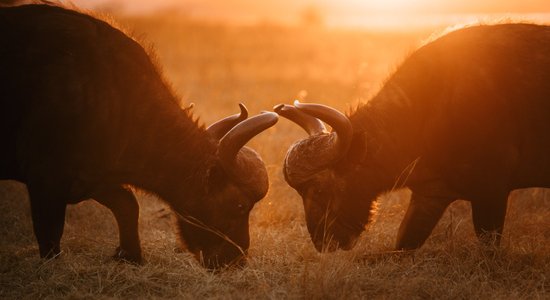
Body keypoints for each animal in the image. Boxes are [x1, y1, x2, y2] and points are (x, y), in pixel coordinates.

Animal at [0, 4, 276, 270]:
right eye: (240, 205)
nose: (236, 260)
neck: (115, 94)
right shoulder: (46, 178)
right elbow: (50, 233)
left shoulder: (93, 177)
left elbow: (127, 205)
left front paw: (129, 255)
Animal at [278, 23, 550, 252]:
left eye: (320, 190)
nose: (323, 243)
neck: (429, 106)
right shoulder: (430, 196)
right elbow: (404, 242)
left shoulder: (491, 192)